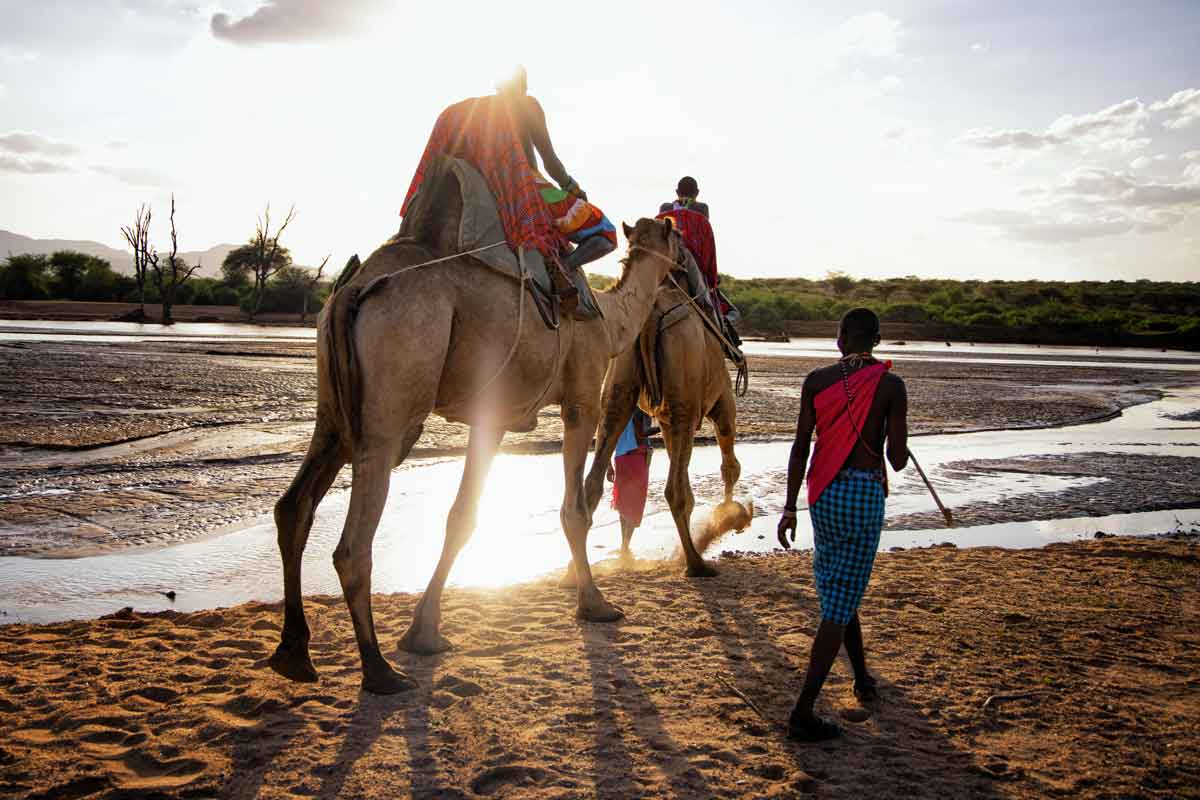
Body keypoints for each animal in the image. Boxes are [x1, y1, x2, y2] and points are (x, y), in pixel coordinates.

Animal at [270, 178, 686, 690]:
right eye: (678, 236)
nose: (685, 268)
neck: (610, 320)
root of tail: (353, 288)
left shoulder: (497, 417)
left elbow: (462, 516)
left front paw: (424, 633)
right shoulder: (582, 400)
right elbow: (574, 511)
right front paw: (596, 605)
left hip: (332, 408)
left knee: (294, 506)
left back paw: (294, 653)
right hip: (392, 398)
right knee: (353, 542)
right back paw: (379, 670)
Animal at [580, 277, 748, 575]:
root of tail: (650, 317)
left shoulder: (668, 418)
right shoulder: (721, 398)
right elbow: (729, 463)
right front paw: (730, 516)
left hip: (621, 378)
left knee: (595, 477)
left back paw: (572, 572)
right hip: (684, 389)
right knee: (675, 490)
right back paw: (696, 563)